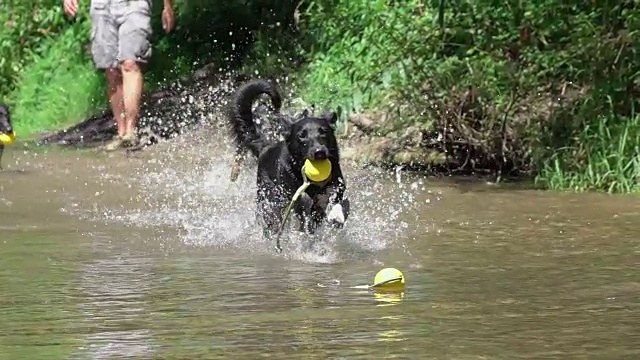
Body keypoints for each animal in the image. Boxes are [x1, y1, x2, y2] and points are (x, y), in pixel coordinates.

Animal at [229, 79, 350, 250]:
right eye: (301, 136)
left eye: (323, 132)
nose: (319, 152)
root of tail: (265, 147)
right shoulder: (296, 198)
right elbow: (304, 212)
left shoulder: (337, 183)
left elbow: (334, 199)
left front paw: (336, 215)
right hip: (270, 203)